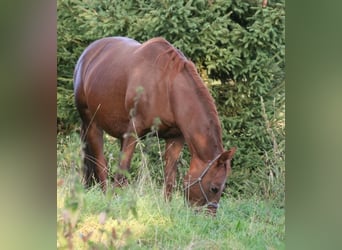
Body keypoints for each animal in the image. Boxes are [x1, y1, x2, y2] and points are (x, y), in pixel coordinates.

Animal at [74, 36, 236, 213]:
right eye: (214, 188)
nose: (209, 215)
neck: (167, 87)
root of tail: (87, 54)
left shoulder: (175, 138)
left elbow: (169, 177)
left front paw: (166, 207)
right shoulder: (134, 131)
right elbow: (123, 168)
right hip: (92, 123)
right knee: (100, 163)